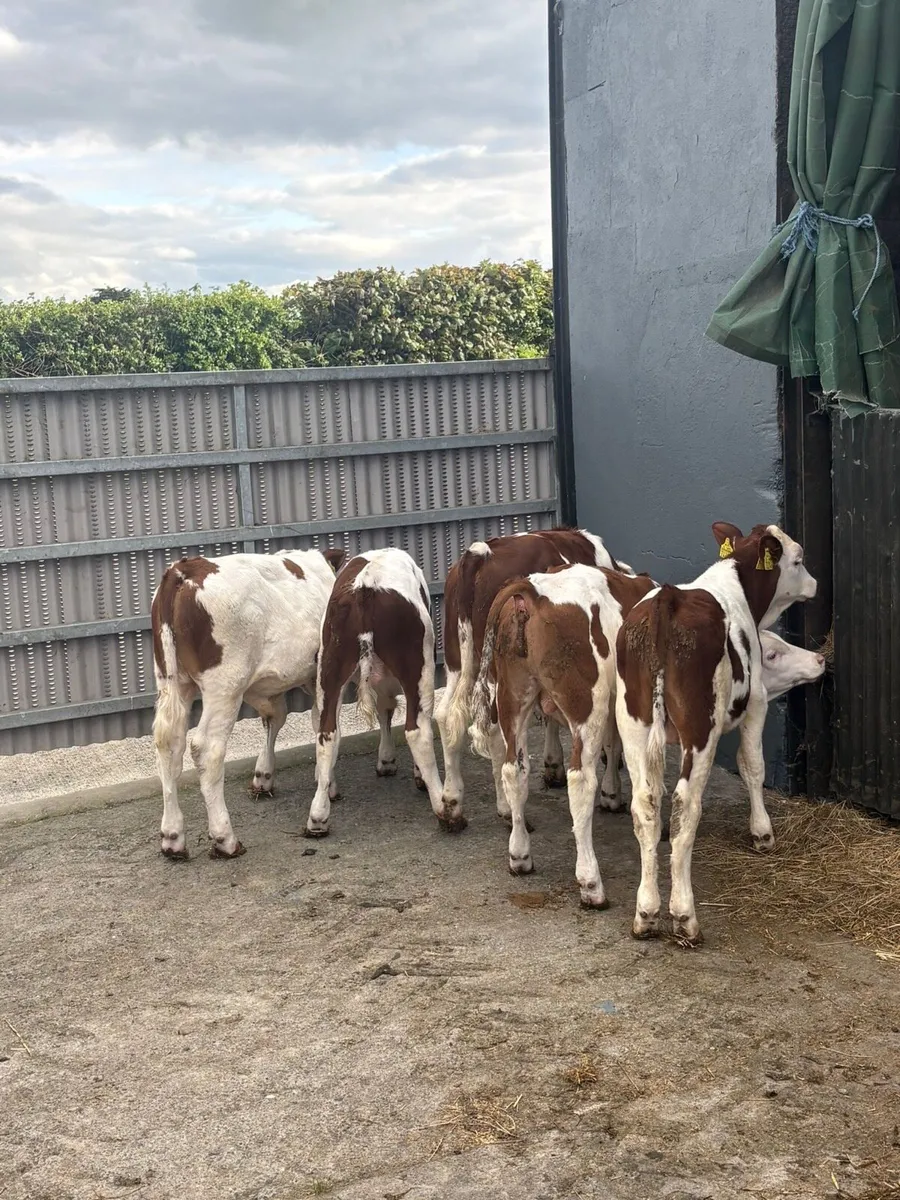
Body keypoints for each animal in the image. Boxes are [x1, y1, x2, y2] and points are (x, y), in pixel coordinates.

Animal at [151, 546, 345, 860]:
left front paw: (264, 777)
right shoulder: (325, 672)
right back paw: (225, 838)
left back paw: (173, 837)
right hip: (225, 685)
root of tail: (184, 569)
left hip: (171, 680)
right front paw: (327, 788)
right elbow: (326, 728)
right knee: (207, 748)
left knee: (169, 744)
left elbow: (276, 718)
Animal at [304, 547, 444, 838]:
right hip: (418, 665)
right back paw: (446, 809)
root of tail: (365, 586)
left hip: (329, 669)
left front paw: (386, 760)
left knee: (327, 734)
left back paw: (318, 817)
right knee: (417, 729)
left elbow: (384, 710)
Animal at [435, 527, 627, 832]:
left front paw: (553, 765)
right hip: (495, 673)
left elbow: (548, 715)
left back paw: (451, 806)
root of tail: (479, 553)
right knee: (494, 732)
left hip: (457, 660)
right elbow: (610, 734)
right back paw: (505, 810)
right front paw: (610, 788)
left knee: (446, 716)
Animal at [615, 522, 817, 946]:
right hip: (700, 729)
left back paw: (646, 913)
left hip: (634, 724)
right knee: (685, 807)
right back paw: (684, 916)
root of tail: (669, 600)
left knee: (645, 805)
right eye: (798, 559)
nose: (814, 584)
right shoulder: (756, 702)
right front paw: (762, 833)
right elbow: (752, 765)